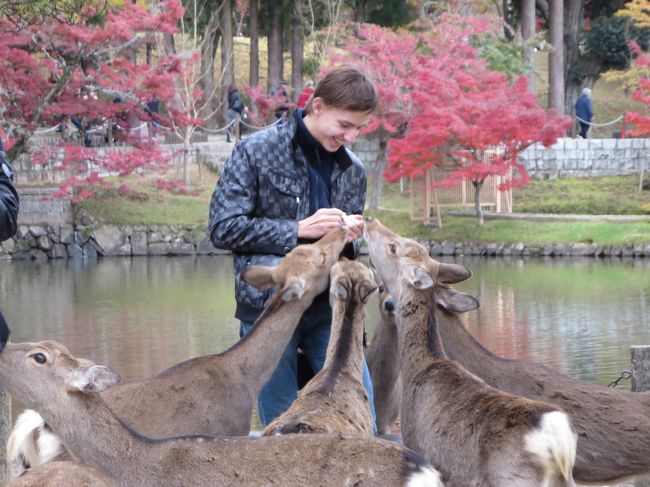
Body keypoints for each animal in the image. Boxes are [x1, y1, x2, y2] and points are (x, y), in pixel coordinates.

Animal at [8, 226, 350, 468]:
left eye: (304, 248)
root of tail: (34, 429)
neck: (245, 379)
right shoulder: (229, 429)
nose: (341, 230)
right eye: (320, 257)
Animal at [364, 217, 577, 487]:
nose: (369, 220)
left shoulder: (417, 444)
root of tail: (560, 446)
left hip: (515, 479)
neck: (417, 367)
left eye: (393, 247)